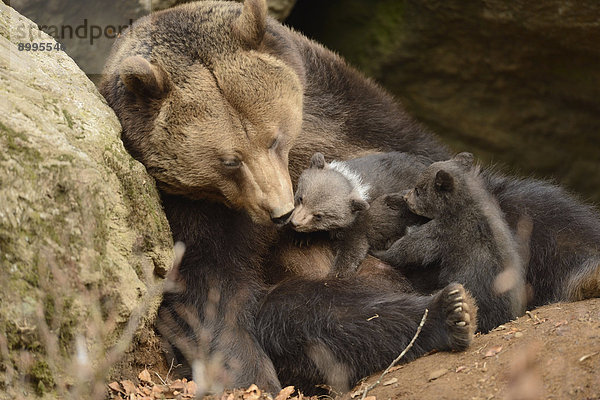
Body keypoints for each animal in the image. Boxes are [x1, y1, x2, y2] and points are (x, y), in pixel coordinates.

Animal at [99, 0, 478, 394]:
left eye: (274, 138)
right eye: (230, 161)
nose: (282, 212)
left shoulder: (341, 110)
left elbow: (418, 153)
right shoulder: (191, 207)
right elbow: (211, 287)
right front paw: (251, 376)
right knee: (316, 314)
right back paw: (447, 312)